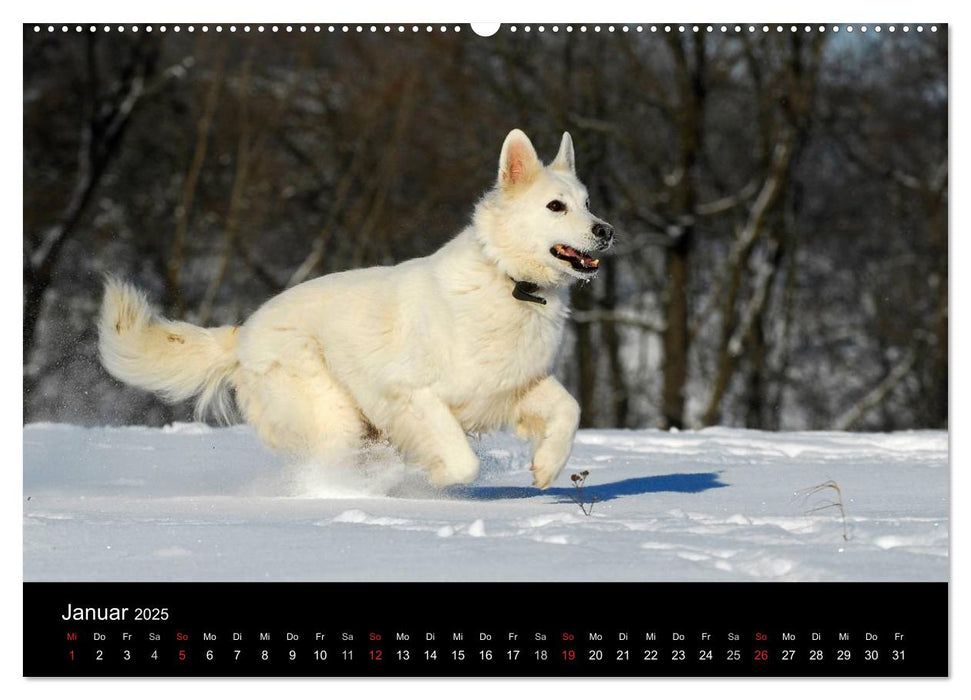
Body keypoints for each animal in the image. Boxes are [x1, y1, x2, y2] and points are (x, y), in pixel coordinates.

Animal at [98, 133, 616, 492]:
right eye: (555, 206)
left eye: (588, 203)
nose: (606, 230)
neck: (507, 280)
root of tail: (243, 331)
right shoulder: (411, 393)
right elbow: (462, 459)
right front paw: (435, 479)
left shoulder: (513, 385)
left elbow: (570, 409)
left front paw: (547, 467)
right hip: (333, 414)